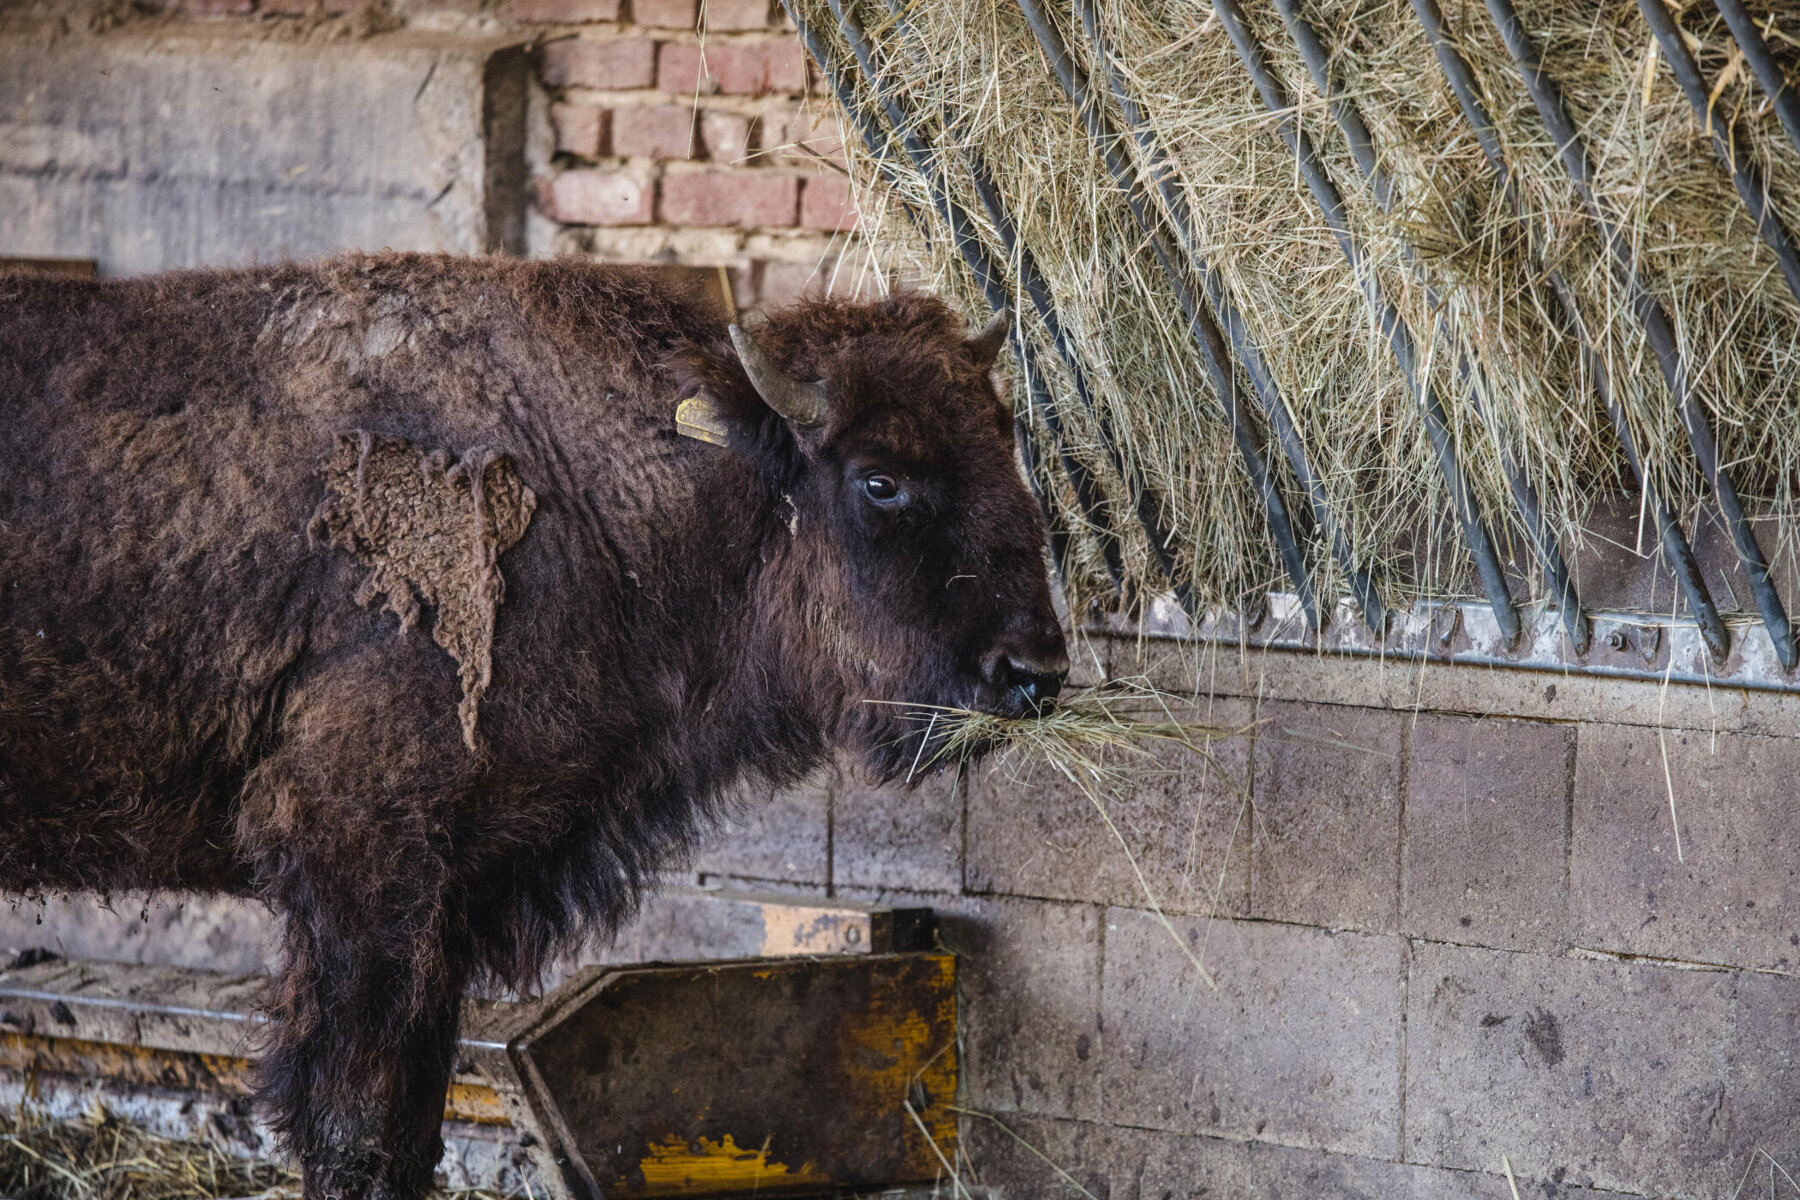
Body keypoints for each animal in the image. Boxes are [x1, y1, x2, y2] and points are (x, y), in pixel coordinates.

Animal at [0, 255, 1065, 1200]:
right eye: (880, 479)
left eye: (1003, 443)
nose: (1034, 672)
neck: (596, 495)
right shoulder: (360, 865)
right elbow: (355, 1123)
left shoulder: (448, 899)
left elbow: (410, 1122)